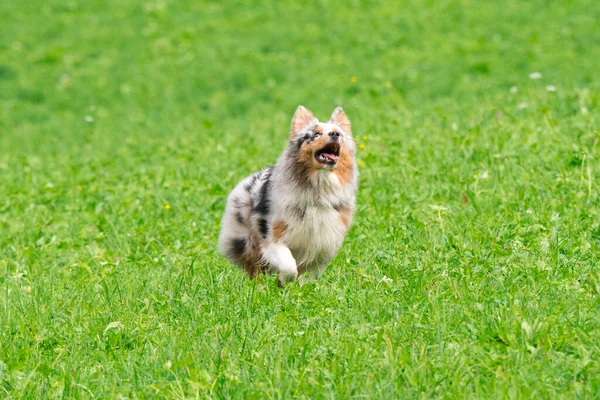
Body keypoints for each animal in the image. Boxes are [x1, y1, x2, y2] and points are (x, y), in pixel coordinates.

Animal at [219, 104, 356, 284]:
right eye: (316, 134)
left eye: (338, 132)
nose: (335, 134)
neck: (318, 189)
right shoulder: (273, 239)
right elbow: (289, 265)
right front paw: (283, 280)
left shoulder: (322, 246)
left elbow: (307, 276)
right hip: (246, 241)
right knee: (254, 268)